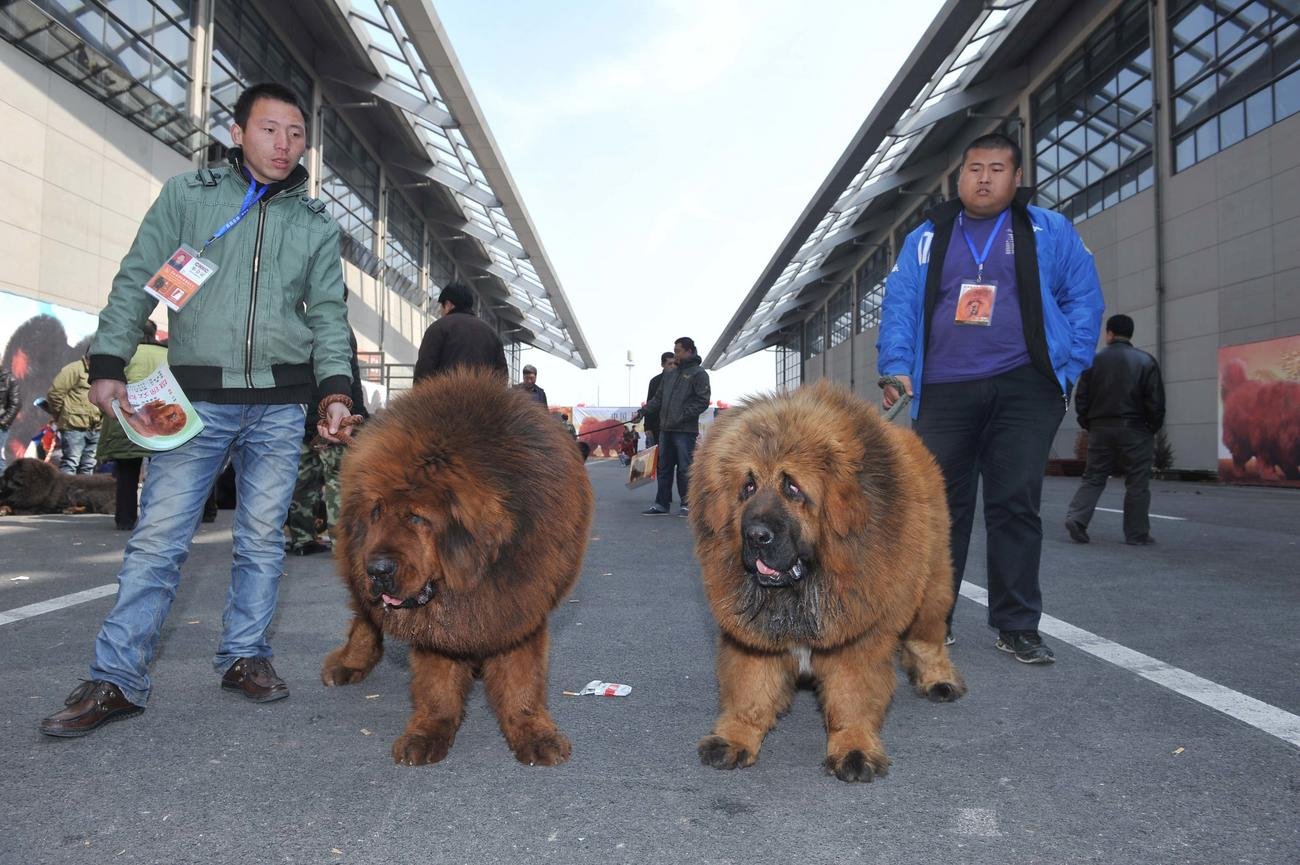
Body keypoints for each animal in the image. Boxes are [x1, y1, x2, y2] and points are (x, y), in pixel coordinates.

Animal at [319, 366, 595, 764]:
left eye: (417, 517)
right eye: (376, 512)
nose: (378, 571)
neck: (475, 575)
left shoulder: (519, 605)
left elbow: (522, 679)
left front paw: (534, 733)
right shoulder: (437, 627)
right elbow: (437, 684)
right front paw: (427, 732)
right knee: (364, 618)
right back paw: (350, 662)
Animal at [691, 382, 967, 780]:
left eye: (792, 488)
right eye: (747, 487)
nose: (755, 535)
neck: (803, 587)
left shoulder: (856, 638)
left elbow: (851, 698)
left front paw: (853, 749)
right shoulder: (753, 638)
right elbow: (750, 690)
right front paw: (734, 739)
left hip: (932, 584)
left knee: (927, 638)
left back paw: (939, 680)